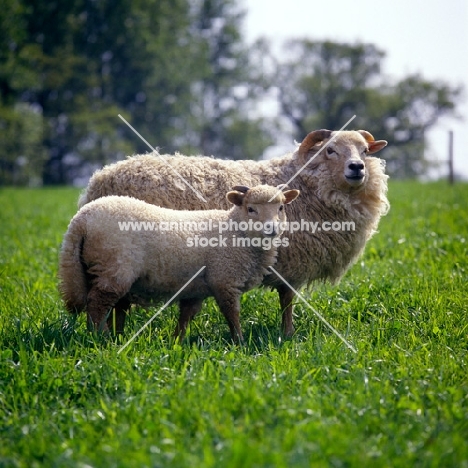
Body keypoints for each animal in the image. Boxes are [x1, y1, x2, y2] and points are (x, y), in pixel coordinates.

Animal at [59, 185, 300, 342]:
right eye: (251, 209)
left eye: (280, 208)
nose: (272, 229)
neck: (235, 229)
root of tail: (80, 220)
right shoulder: (224, 279)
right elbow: (232, 314)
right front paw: (239, 342)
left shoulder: (195, 288)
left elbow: (186, 316)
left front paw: (177, 342)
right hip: (113, 267)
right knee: (97, 303)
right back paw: (101, 338)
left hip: (98, 268)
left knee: (112, 305)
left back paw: (115, 336)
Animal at [78, 130, 390, 338]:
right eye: (330, 150)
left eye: (365, 151)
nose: (357, 168)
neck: (306, 183)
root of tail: (99, 180)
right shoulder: (291, 263)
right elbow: (287, 300)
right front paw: (288, 334)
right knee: (116, 299)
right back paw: (108, 335)